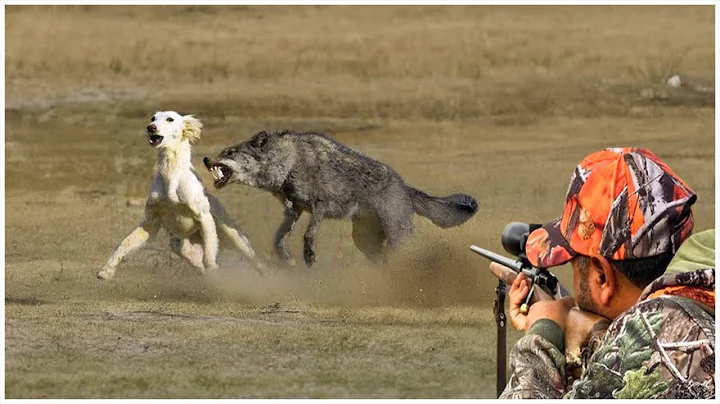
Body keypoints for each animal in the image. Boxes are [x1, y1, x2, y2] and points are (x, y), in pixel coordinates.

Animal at [203, 130, 478, 267]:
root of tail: (405, 186)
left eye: (229, 152)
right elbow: (278, 240)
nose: (206, 159)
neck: (288, 164)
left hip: (397, 237)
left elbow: (308, 234)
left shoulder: (321, 206)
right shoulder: (293, 211)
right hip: (364, 241)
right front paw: (287, 259)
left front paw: (309, 256)